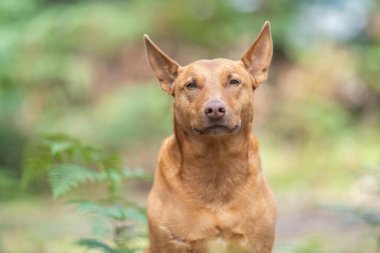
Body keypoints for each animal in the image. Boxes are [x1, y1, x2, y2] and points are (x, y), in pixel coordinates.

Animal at [143, 20, 276, 252]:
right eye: (191, 85)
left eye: (234, 82)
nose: (214, 109)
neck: (217, 166)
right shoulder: (169, 244)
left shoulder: (257, 245)